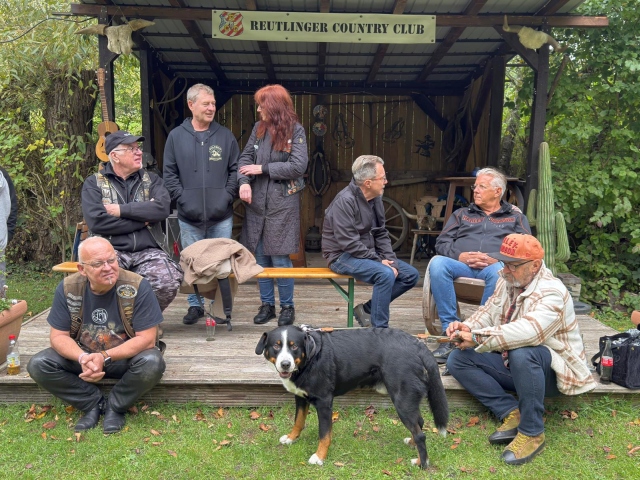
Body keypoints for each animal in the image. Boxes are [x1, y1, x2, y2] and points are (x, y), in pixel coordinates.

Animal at [255, 325, 449, 469]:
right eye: (276, 346)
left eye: (294, 346)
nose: (285, 364)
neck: (310, 358)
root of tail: (416, 343)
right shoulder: (300, 397)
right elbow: (298, 421)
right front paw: (291, 438)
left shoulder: (324, 402)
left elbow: (324, 434)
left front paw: (319, 457)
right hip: (407, 399)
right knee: (419, 423)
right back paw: (413, 445)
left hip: (402, 399)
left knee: (421, 434)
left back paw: (421, 464)